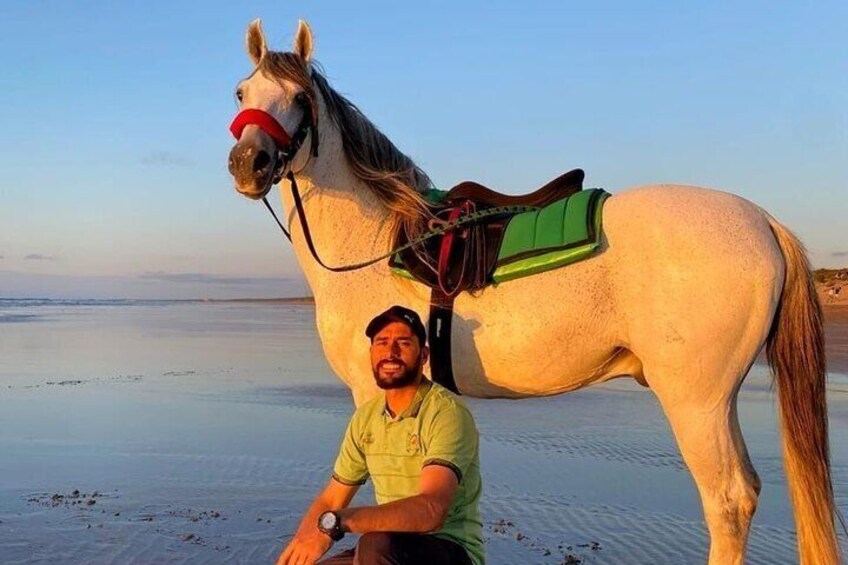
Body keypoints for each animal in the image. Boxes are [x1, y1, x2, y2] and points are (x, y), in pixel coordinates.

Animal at [225, 19, 840, 564]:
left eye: (300, 97)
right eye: (241, 93)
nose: (248, 163)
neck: (380, 241)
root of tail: (761, 219)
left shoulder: (365, 390)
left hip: (696, 402)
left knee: (728, 501)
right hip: (718, 401)